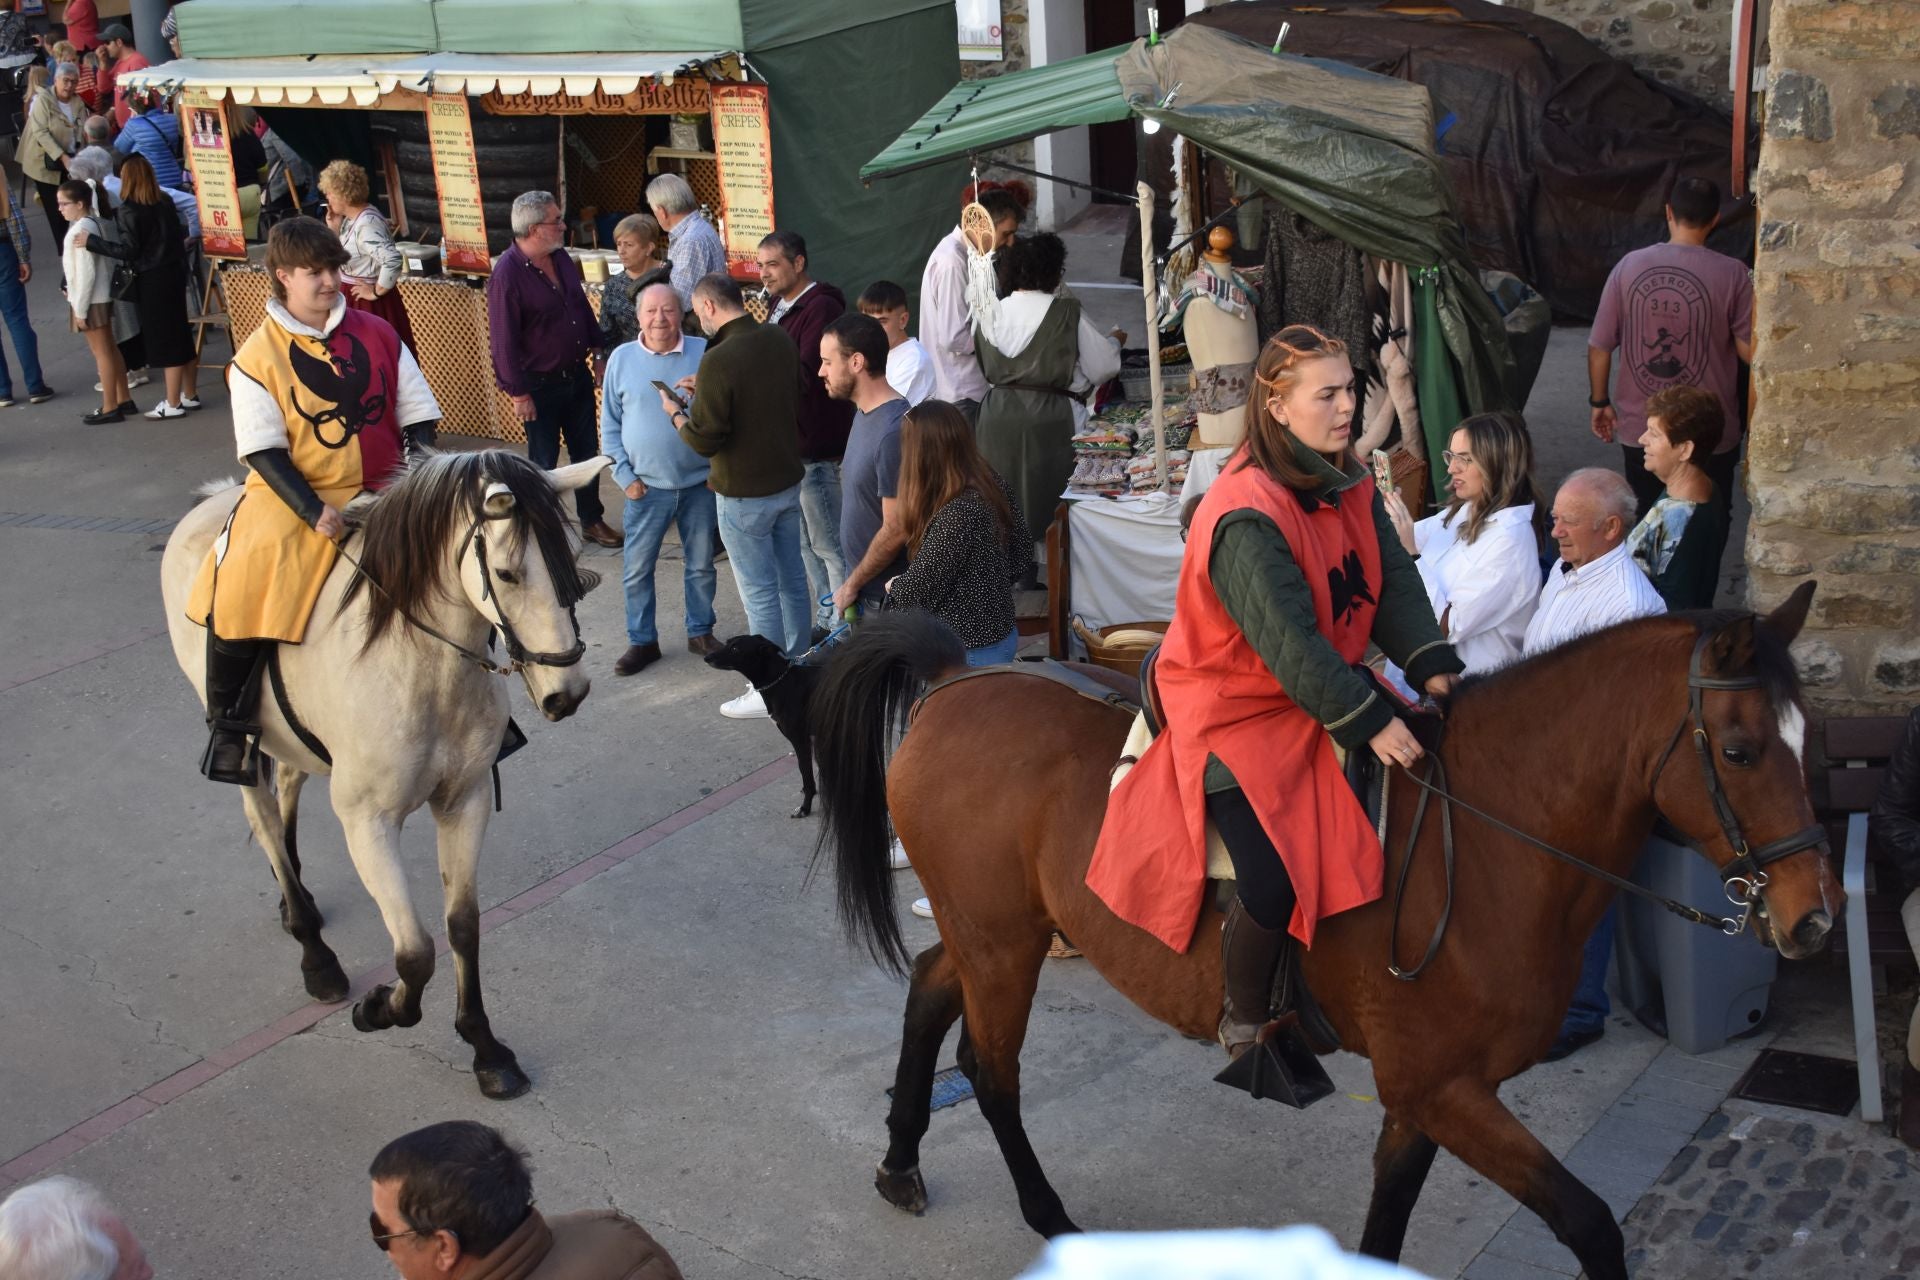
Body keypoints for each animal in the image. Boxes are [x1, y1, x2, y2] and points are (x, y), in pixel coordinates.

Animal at [168, 450, 614, 1105]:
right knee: (262, 812)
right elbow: (415, 953)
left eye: (572, 565)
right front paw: (379, 1008)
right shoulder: (367, 823)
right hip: (237, 730)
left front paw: (487, 1050)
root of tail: (213, 501)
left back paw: (293, 895)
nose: (568, 693)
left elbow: (461, 928)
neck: (419, 666)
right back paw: (314, 951)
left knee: (289, 786)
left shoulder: (464, 800)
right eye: (507, 574)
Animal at [710, 633, 821, 821]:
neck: (782, 682)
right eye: (727, 643)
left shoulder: (801, 741)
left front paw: (805, 807)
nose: (707, 657)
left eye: (735, 648)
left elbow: (806, 774)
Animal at [806, 583, 1827, 1280]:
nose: (1810, 916)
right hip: (1005, 945)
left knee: (929, 988)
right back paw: (1048, 1217)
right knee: (989, 1071)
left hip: (995, 931)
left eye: (1807, 738)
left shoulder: (1422, 1097)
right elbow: (1590, 1224)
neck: (1484, 838)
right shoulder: (1444, 1088)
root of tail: (954, 685)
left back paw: (900, 1159)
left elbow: (1389, 1221)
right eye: (1741, 750)